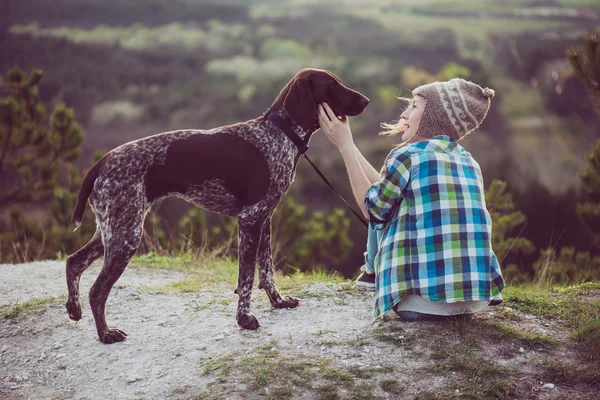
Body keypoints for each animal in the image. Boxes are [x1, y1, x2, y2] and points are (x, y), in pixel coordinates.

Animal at [63, 69, 368, 344]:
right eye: (332, 85)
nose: (366, 100)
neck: (279, 134)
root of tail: (102, 162)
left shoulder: (264, 219)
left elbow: (266, 271)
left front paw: (278, 301)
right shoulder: (249, 220)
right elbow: (246, 278)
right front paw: (245, 319)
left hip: (112, 230)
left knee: (73, 262)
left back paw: (74, 309)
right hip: (126, 234)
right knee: (97, 290)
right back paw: (106, 334)